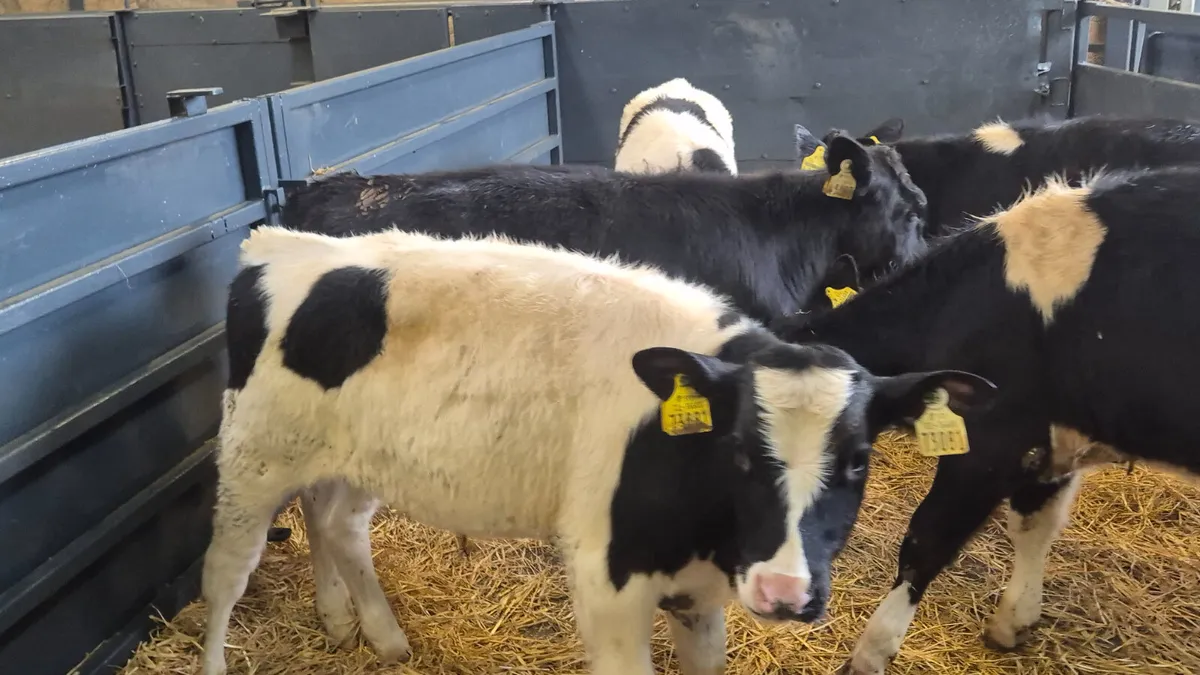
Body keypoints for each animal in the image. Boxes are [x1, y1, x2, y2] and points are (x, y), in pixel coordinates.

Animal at [199, 225, 993, 675]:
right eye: (739, 452)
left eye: (858, 460)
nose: (784, 592)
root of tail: (281, 242)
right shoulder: (605, 579)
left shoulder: (698, 591)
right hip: (250, 457)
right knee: (226, 575)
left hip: (351, 458)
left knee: (334, 523)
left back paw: (369, 632)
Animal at [769, 165, 1200, 673]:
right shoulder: (1051, 438)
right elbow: (1033, 524)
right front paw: (1014, 621)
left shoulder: (991, 439)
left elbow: (927, 539)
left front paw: (869, 654)